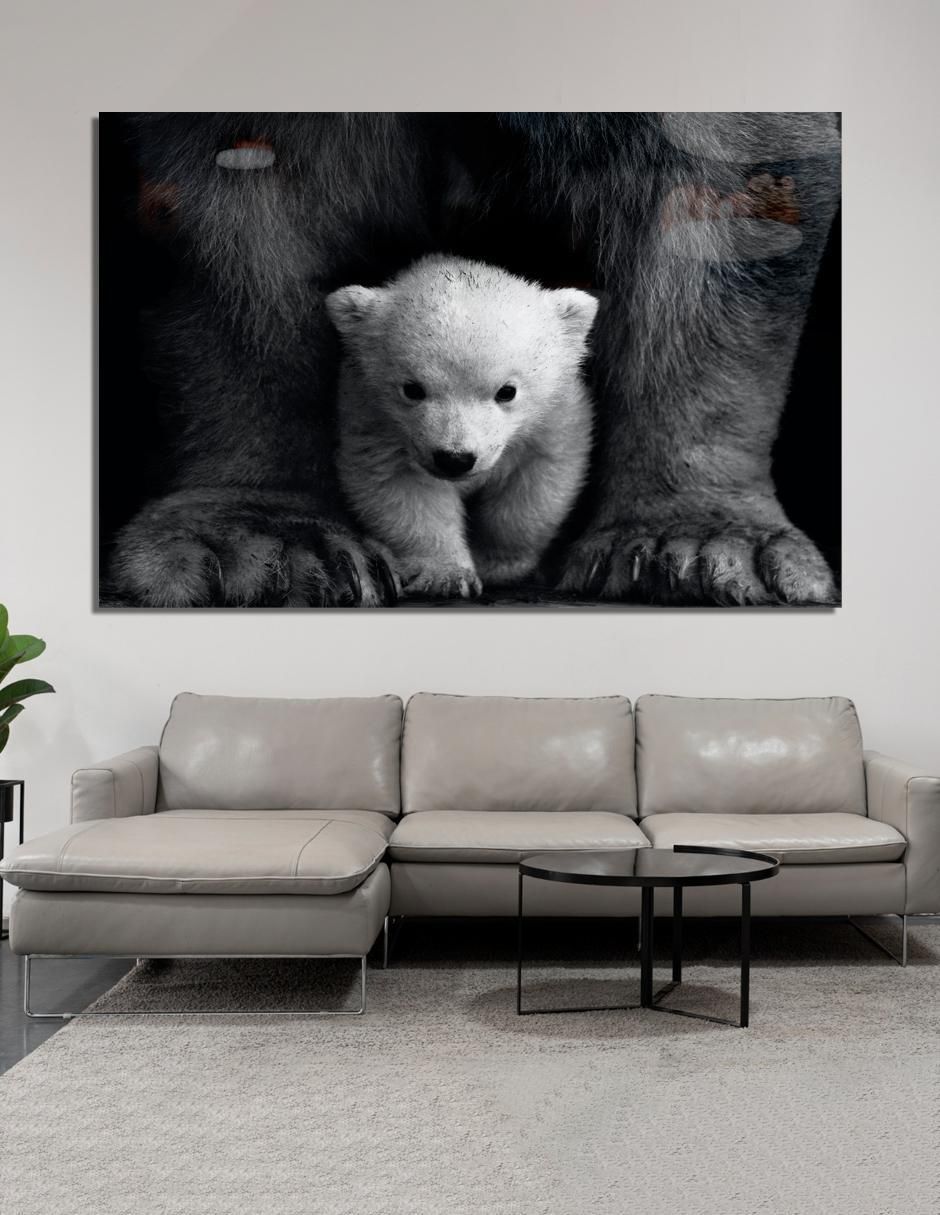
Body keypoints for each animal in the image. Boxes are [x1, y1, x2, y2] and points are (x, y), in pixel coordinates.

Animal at [325, 256, 598, 599]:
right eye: (412, 389)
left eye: (507, 391)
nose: (455, 459)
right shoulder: (374, 420)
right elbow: (402, 488)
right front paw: (446, 576)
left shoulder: (554, 417)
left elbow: (535, 484)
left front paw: (497, 564)